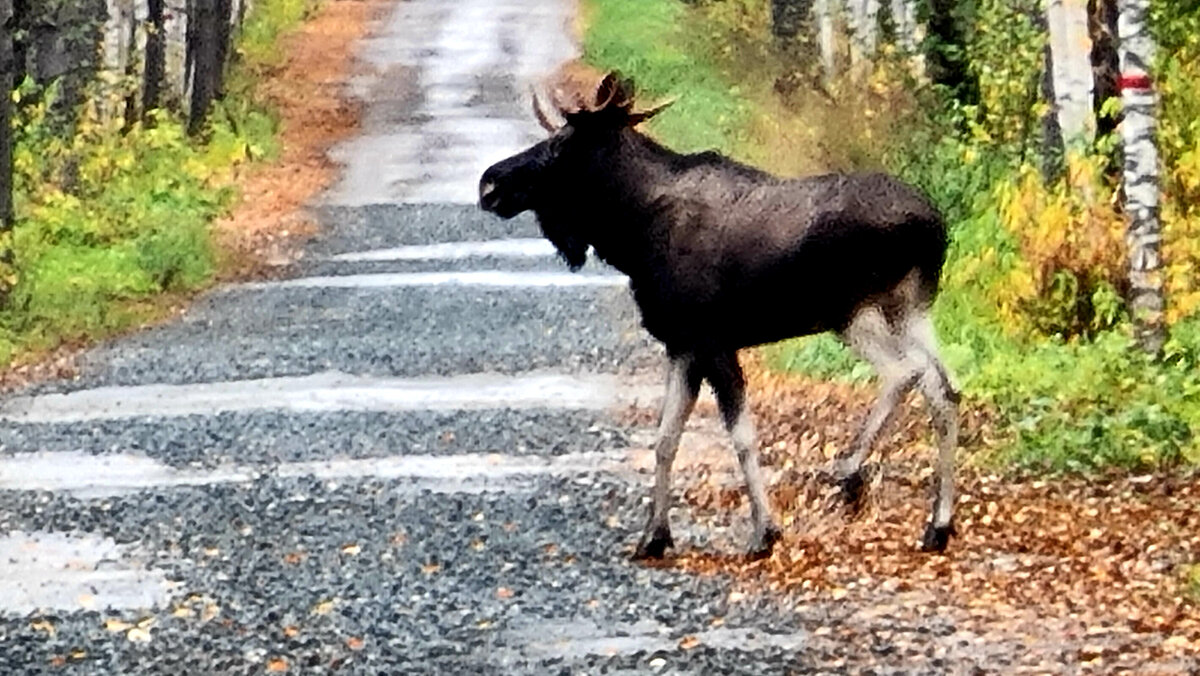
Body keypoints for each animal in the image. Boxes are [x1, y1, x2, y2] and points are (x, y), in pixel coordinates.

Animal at [477, 66, 955, 561]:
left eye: (560, 145)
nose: (489, 183)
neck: (631, 233)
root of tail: (934, 226)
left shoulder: (713, 341)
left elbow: (741, 437)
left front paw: (764, 532)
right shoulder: (682, 345)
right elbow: (665, 440)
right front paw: (654, 535)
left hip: (855, 310)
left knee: (906, 373)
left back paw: (849, 471)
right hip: (911, 308)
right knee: (943, 389)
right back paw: (937, 526)